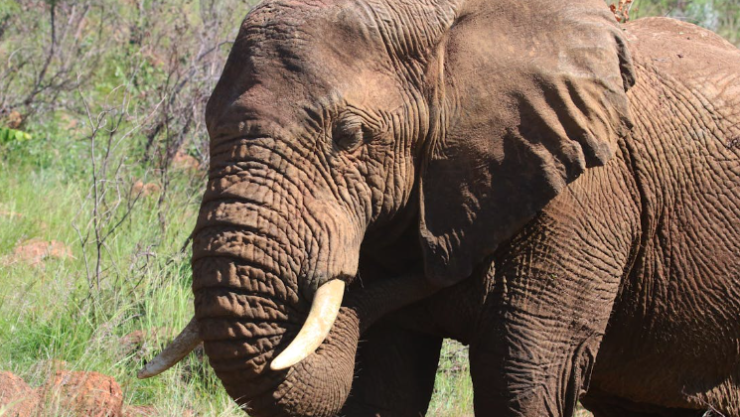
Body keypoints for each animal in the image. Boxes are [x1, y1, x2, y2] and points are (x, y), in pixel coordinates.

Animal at [137, 0, 740, 415]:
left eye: (350, 137)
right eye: (207, 124)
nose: (442, 266)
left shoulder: (584, 203)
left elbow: (522, 379)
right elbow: (382, 382)